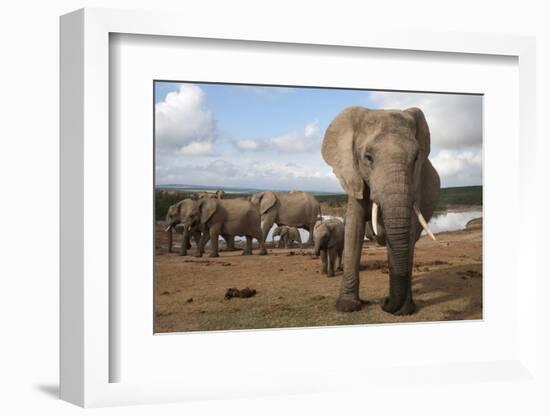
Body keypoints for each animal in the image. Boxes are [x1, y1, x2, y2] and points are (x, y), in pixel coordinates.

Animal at [322, 105, 442, 314]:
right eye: (368, 157)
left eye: (416, 158)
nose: (384, 302)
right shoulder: (354, 175)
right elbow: (354, 228)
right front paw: (347, 306)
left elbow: (408, 232)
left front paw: (404, 310)